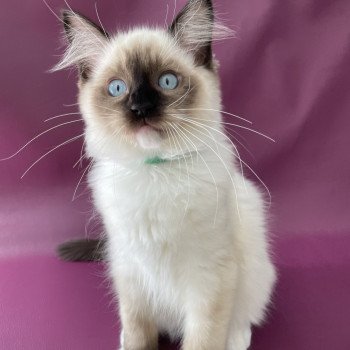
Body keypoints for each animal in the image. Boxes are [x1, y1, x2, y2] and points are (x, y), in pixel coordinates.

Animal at [56, 0, 278, 350]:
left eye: (167, 82)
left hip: (254, 271)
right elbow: (138, 331)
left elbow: (203, 339)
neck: (155, 170)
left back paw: (237, 338)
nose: (141, 109)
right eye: (117, 88)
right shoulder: (131, 273)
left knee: (245, 315)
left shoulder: (209, 278)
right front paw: (133, 342)